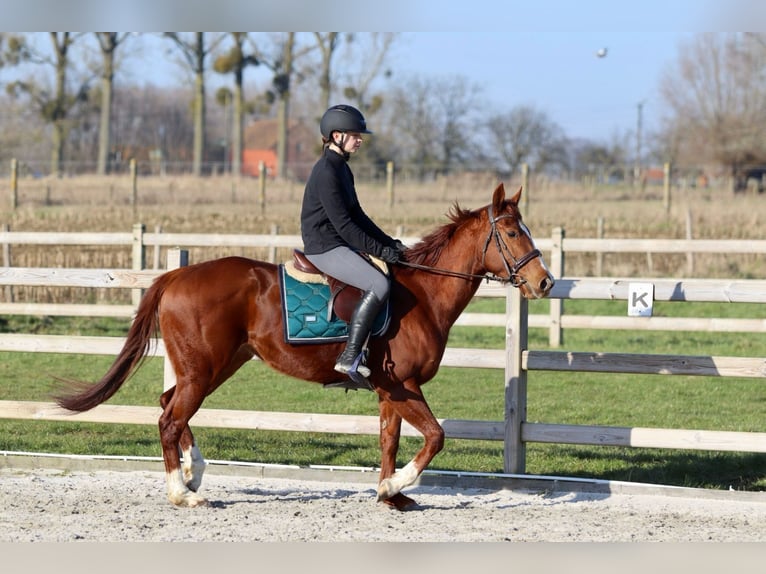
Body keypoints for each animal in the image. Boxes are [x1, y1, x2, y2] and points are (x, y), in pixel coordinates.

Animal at [57, 182, 556, 510]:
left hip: (217, 365)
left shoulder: (389, 391)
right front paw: (394, 487)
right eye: (513, 233)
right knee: (169, 418)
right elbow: (435, 436)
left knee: (169, 406)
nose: (544, 283)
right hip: (203, 369)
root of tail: (177, 275)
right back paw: (181, 492)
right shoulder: (405, 386)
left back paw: (193, 473)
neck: (423, 295)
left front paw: (390, 495)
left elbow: (390, 441)